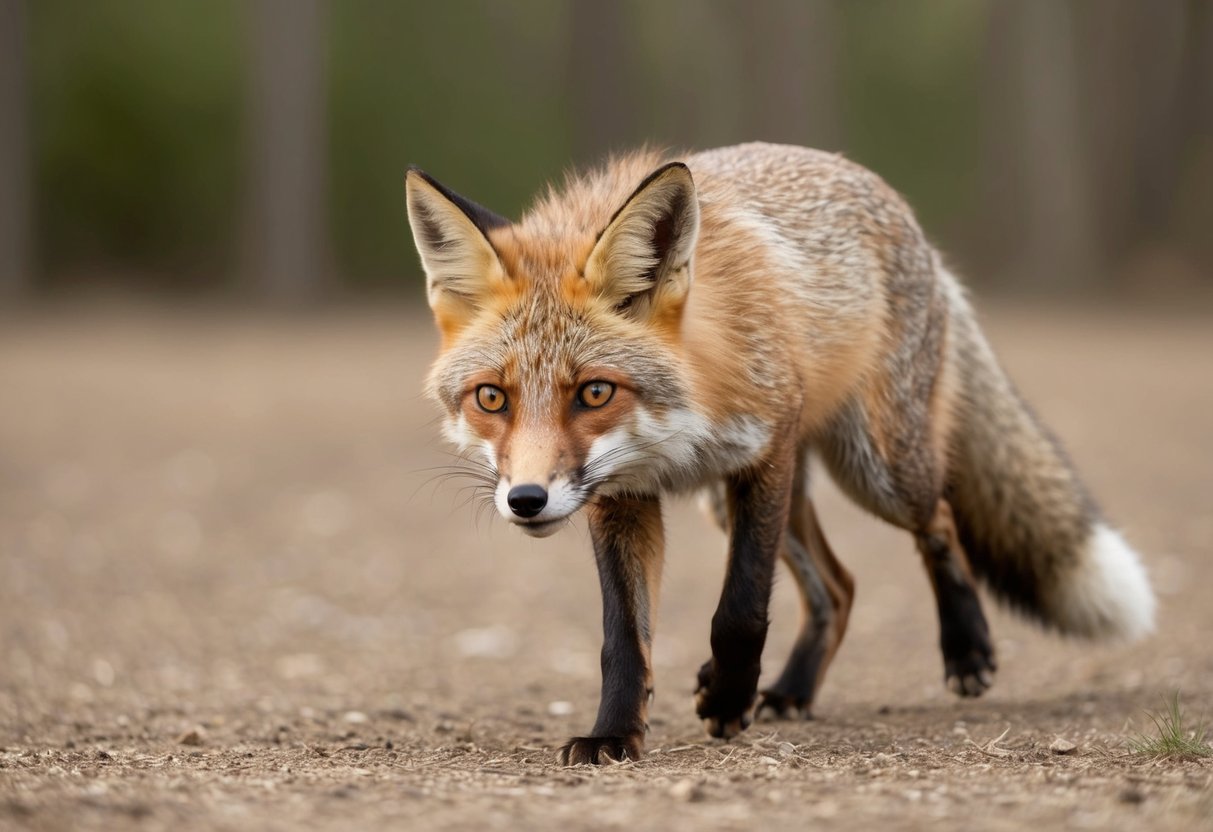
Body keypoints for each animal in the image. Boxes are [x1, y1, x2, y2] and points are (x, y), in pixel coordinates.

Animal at [405, 142, 1156, 766]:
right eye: (492, 398)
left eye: (593, 392)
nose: (526, 500)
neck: (684, 417)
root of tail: (896, 206)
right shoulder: (621, 496)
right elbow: (623, 640)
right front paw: (614, 734)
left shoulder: (763, 455)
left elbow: (739, 610)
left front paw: (727, 698)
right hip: (742, 500)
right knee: (839, 586)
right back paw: (793, 690)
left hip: (877, 470)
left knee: (938, 521)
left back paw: (966, 649)